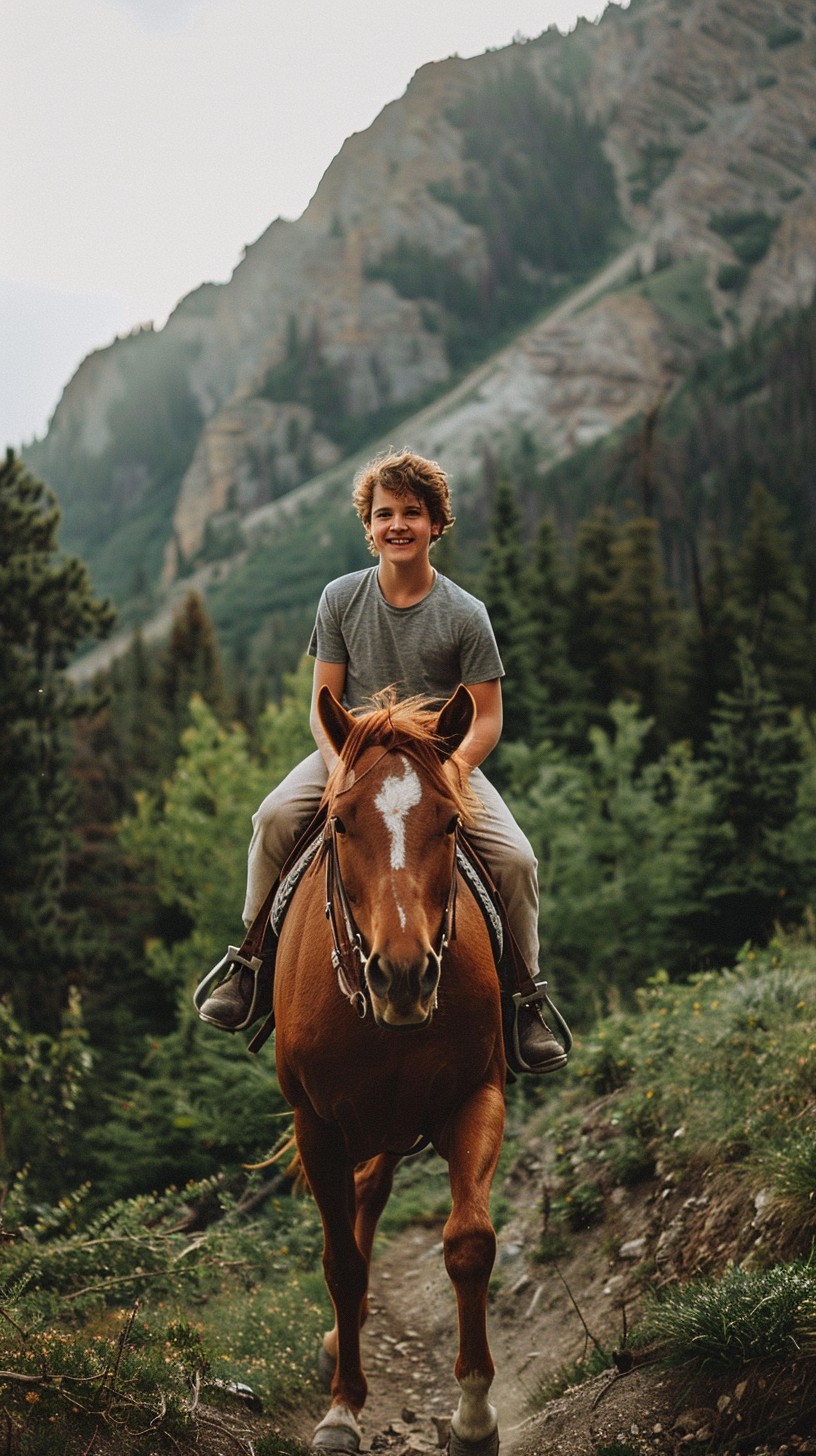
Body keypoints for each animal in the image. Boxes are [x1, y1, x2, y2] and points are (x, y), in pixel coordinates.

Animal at [273, 683, 506, 1456]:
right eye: (341, 823)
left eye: (451, 823)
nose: (402, 976)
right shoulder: (317, 1124)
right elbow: (341, 1265)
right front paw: (344, 1409)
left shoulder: (476, 1097)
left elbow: (468, 1243)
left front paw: (473, 1415)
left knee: (371, 1194)